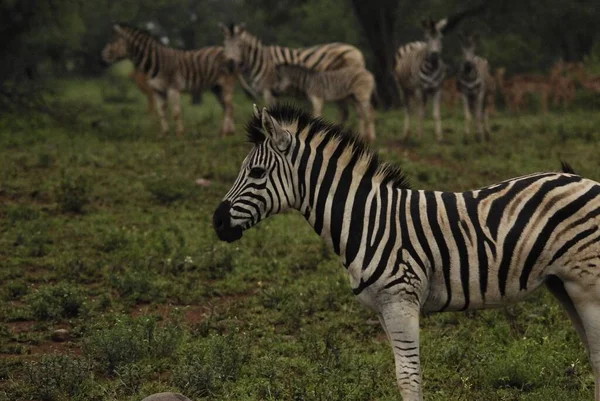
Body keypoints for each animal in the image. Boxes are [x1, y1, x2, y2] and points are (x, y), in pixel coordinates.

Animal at [101, 23, 237, 137]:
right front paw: (165, 133)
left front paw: (180, 134)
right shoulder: (157, 90)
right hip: (216, 87)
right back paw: (226, 131)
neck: (154, 62)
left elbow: (176, 112)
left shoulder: (173, 88)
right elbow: (161, 111)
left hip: (227, 83)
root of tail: (223, 49)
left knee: (230, 106)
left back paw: (226, 133)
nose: (103, 56)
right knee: (226, 106)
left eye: (112, 41)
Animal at [214, 102, 600, 400]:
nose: (217, 222)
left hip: (587, 286)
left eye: (256, 172)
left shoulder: (401, 301)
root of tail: (585, 180)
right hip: (562, 285)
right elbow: (402, 376)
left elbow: (409, 378)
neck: (368, 220)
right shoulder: (383, 310)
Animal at [218, 21, 364, 121]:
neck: (261, 60)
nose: (231, 64)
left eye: (240, 46)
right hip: (339, 92)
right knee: (346, 113)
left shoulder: (268, 90)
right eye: (225, 45)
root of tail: (357, 52)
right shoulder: (275, 92)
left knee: (359, 111)